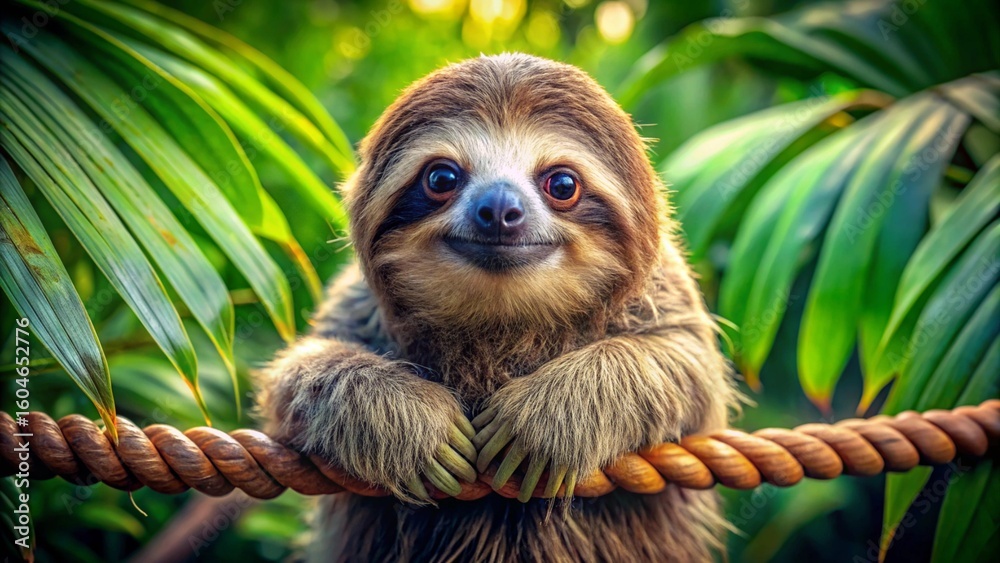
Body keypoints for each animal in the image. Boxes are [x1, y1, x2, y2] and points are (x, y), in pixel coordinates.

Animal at [257, 53, 738, 562]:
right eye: (441, 177)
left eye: (562, 184)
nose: (500, 208)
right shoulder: (358, 302)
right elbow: (298, 375)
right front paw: (414, 427)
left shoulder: (664, 288)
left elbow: (689, 365)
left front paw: (544, 423)